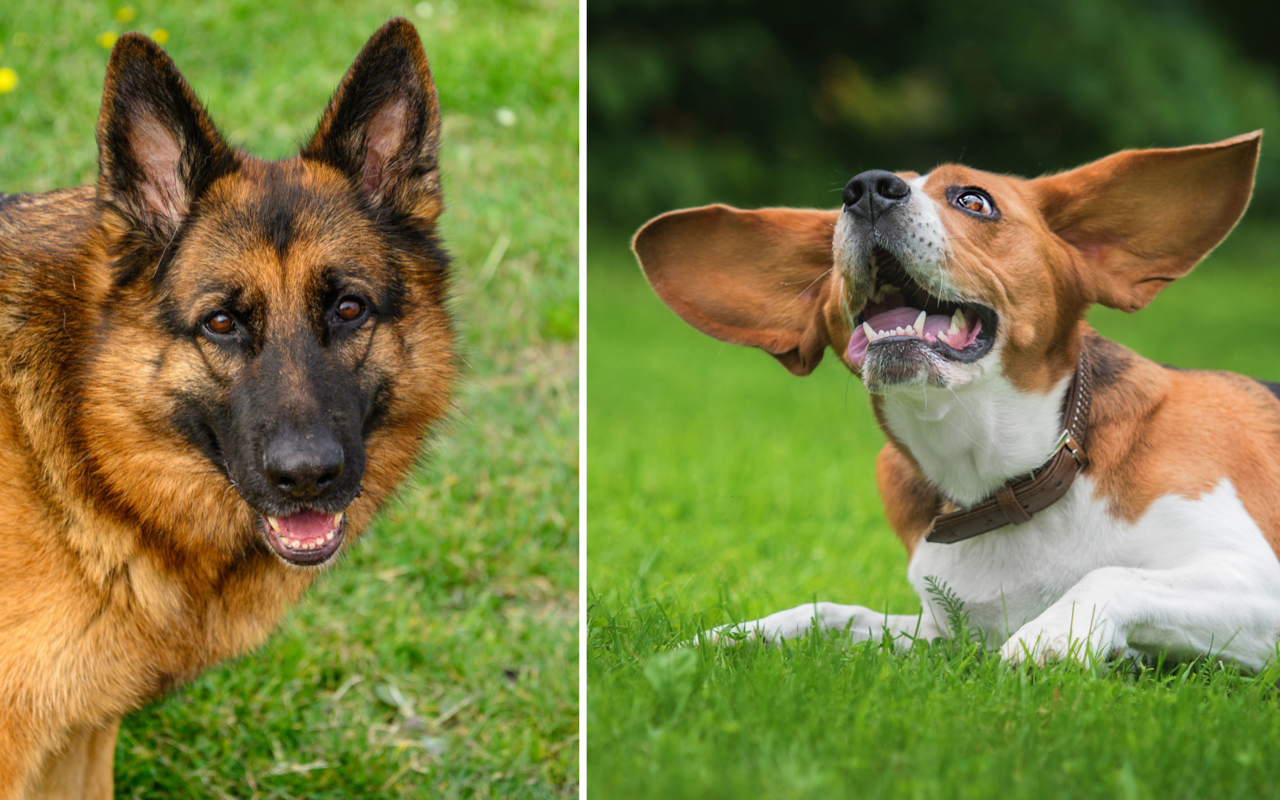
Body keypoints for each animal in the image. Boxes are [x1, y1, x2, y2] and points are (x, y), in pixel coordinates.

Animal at [634, 132, 1280, 665]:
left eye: (974, 200)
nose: (866, 190)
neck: (1003, 481)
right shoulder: (945, 634)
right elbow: (830, 613)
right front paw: (733, 637)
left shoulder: (1255, 581)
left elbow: (1113, 577)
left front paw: (1050, 634)